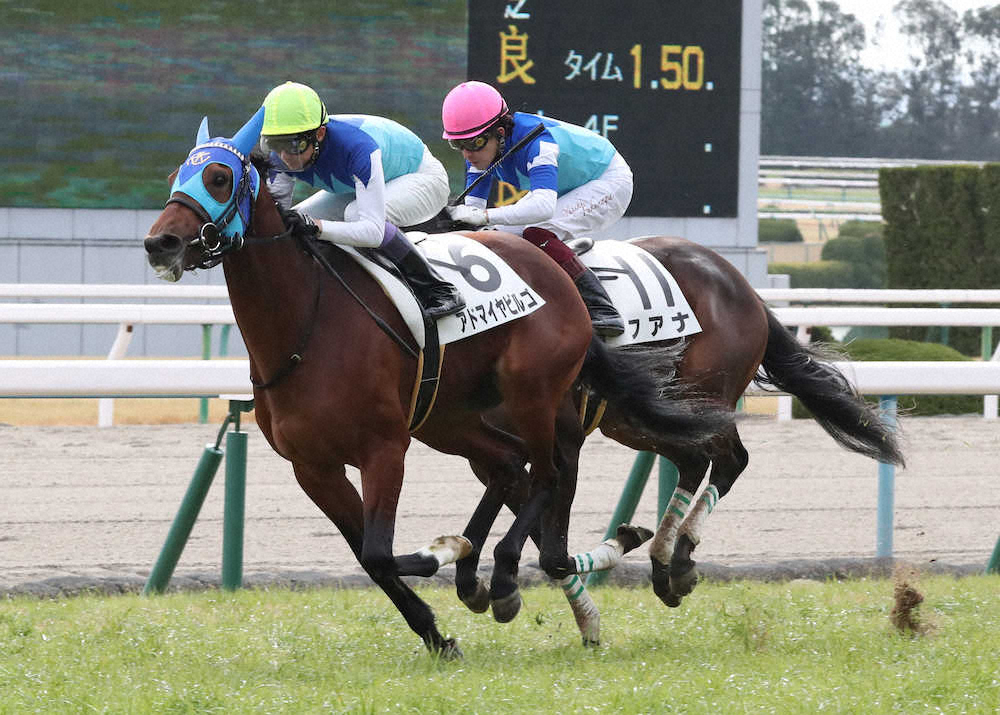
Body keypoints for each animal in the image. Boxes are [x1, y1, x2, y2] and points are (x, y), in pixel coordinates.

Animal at [142, 109, 732, 658]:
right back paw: (498, 576)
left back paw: (509, 576)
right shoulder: (313, 467)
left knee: (549, 472)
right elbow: (368, 558)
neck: (306, 324)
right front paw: (438, 634)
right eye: (175, 175)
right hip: (450, 418)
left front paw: (446, 551)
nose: (159, 243)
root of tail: (559, 275)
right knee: (509, 465)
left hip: (532, 394)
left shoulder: (384, 448)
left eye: (219, 177)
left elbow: (380, 552)